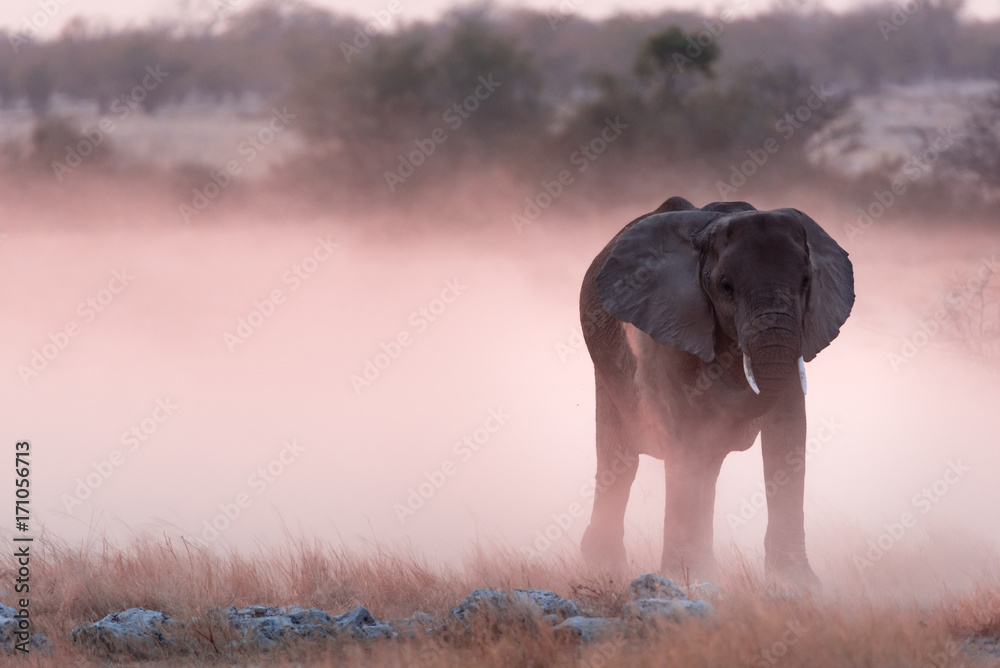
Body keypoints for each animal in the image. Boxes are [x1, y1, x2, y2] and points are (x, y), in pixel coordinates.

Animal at [578, 195, 854, 587]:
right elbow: (684, 435)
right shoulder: (668, 325)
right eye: (726, 287)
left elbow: (787, 432)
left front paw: (797, 584)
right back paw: (604, 567)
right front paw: (687, 579)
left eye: (805, 282)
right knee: (620, 458)